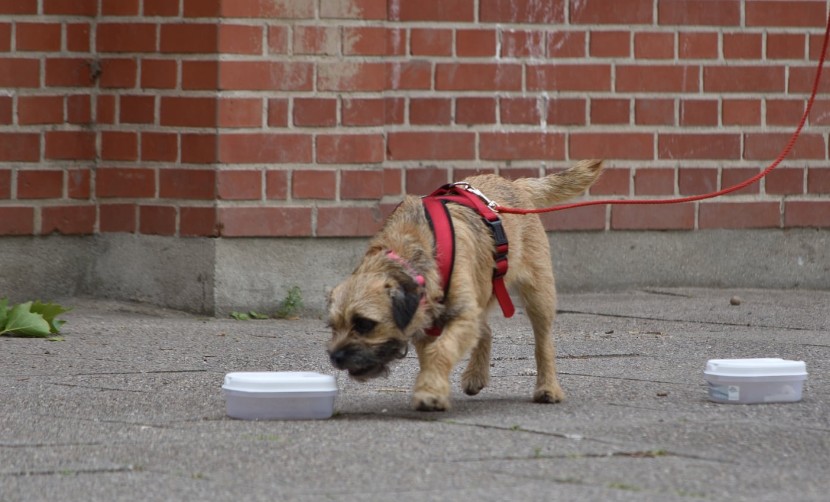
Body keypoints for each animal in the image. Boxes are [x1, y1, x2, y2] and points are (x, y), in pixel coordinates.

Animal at [327, 159, 604, 411]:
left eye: (365, 324)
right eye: (332, 326)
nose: (334, 357)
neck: (406, 252)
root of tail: (516, 184)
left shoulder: (460, 315)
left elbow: (441, 351)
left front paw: (429, 392)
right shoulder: (428, 323)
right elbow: (431, 356)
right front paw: (432, 387)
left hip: (538, 292)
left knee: (543, 342)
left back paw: (548, 388)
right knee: (485, 330)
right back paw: (475, 376)